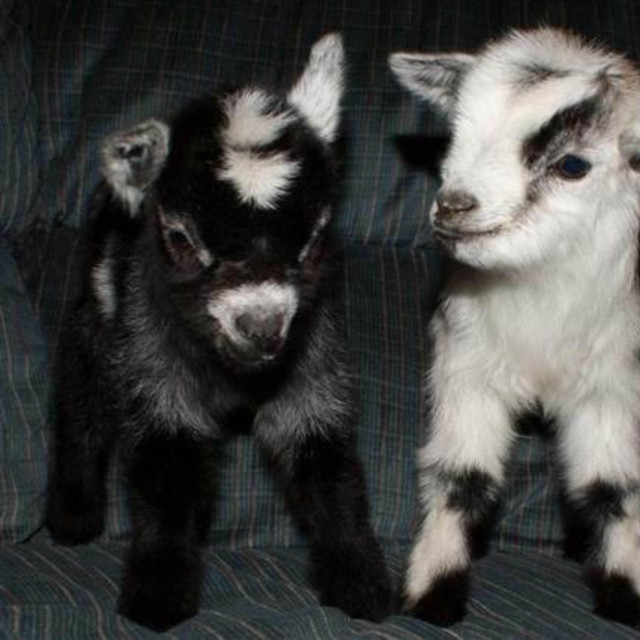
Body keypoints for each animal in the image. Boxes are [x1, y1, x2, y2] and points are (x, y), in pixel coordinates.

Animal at [46, 34, 391, 631]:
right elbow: (170, 476)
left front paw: (360, 582)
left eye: (315, 240)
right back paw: (73, 514)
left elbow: (329, 470)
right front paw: (159, 594)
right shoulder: (151, 362)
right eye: (179, 239)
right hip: (99, 318)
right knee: (81, 398)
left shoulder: (313, 362)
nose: (262, 326)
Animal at [390, 27, 640, 626]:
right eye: (456, 136)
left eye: (572, 166)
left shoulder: (612, 384)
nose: (453, 207)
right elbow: (462, 475)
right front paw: (434, 591)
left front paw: (626, 592)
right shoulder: (466, 366)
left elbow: (614, 486)